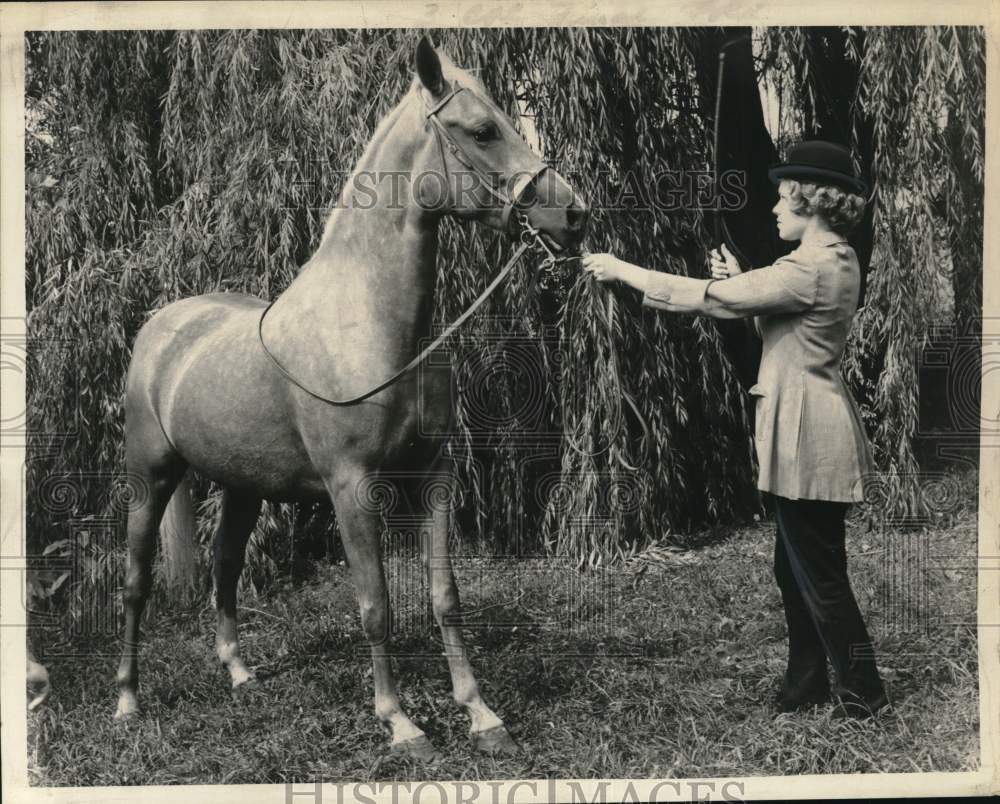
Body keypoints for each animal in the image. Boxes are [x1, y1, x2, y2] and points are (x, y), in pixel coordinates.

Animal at [115, 33, 584, 760]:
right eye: (482, 130)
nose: (573, 214)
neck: (369, 325)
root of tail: (163, 327)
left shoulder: (435, 475)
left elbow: (445, 595)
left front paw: (481, 714)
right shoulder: (351, 487)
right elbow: (375, 605)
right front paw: (401, 722)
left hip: (243, 487)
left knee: (225, 567)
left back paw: (240, 674)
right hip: (151, 478)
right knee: (137, 584)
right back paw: (128, 702)